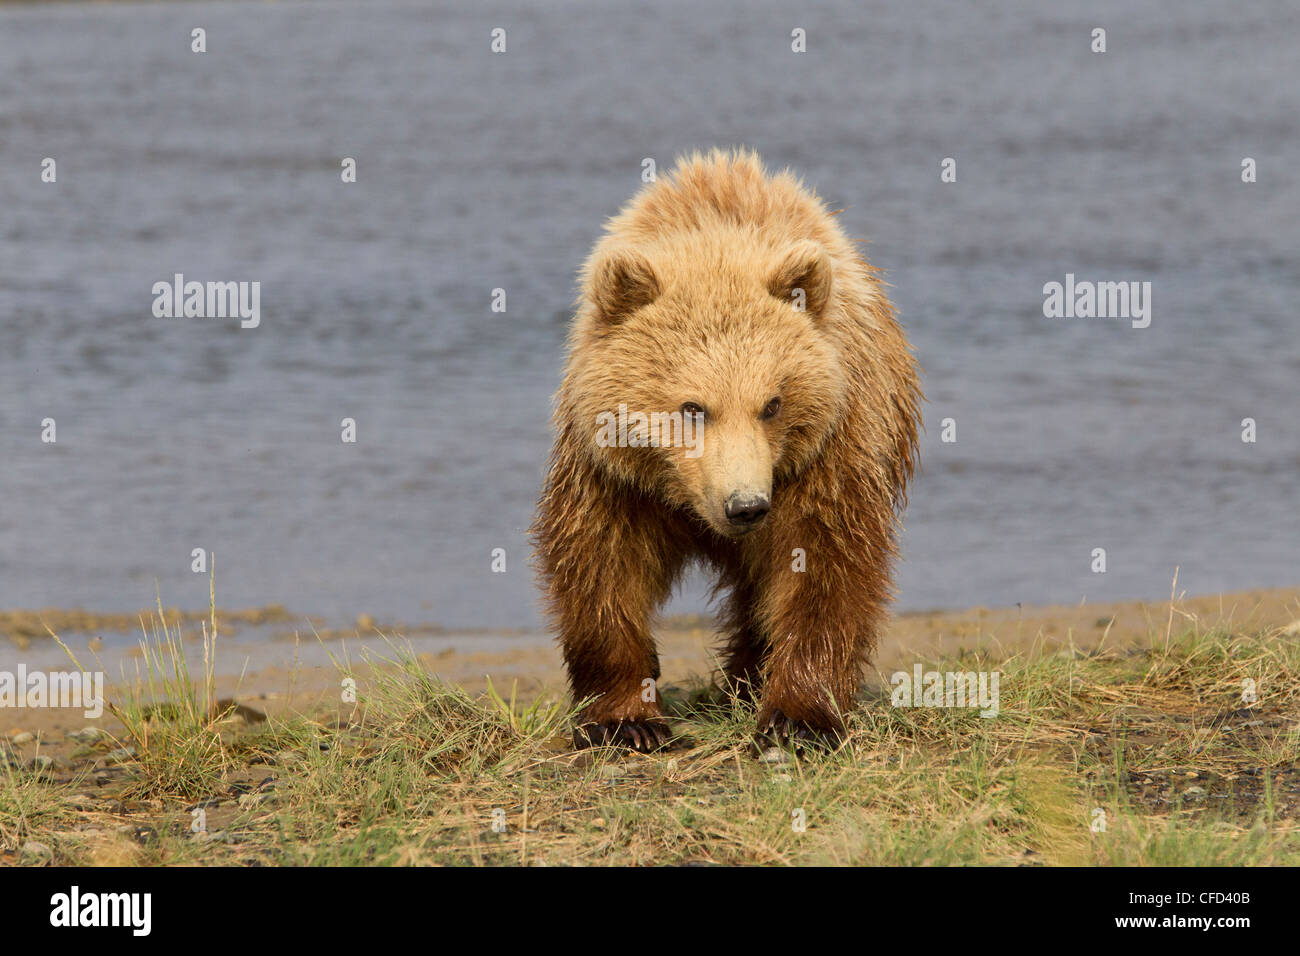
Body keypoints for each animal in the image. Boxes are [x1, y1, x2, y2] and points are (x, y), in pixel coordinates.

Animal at [530, 149, 925, 749]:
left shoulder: (824, 454)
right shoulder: (613, 470)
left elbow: (824, 563)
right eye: (693, 407)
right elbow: (602, 559)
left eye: (773, 403)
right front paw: (624, 720)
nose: (745, 506)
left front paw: (798, 718)